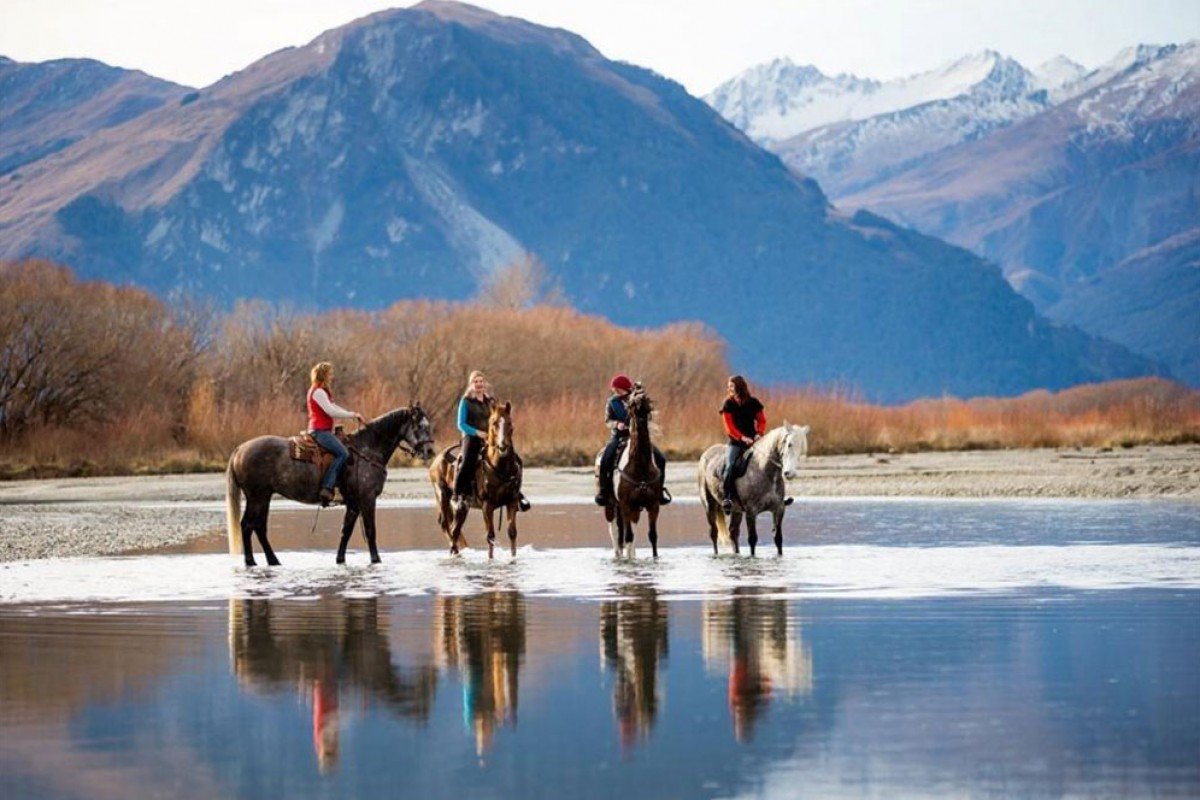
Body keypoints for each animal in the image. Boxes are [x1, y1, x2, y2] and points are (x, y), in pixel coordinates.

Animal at [225, 402, 436, 566]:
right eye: (420, 426)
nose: (430, 451)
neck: (367, 450)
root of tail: (239, 449)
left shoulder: (353, 503)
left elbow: (346, 531)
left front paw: (340, 559)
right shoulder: (367, 500)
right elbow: (370, 531)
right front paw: (376, 560)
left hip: (264, 497)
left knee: (259, 527)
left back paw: (272, 560)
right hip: (257, 496)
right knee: (247, 525)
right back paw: (251, 561)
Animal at [432, 402, 525, 561]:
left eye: (509, 422)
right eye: (494, 423)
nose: (503, 446)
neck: (499, 467)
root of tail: (436, 460)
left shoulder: (511, 502)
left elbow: (512, 532)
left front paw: (513, 559)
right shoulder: (487, 506)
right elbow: (490, 536)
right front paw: (490, 560)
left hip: (463, 508)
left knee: (455, 530)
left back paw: (456, 554)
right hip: (443, 497)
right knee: (446, 525)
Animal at [600, 386, 667, 556]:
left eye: (647, 403)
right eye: (632, 405)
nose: (642, 421)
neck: (640, 466)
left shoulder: (653, 505)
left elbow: (652, 536)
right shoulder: (625, 504)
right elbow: (628, 536)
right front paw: (628, 559)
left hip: (635, 509)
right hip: (610, 505)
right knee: (614, 530)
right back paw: (618, 554)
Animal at [700, 424, 811, 556]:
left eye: (802, 448)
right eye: (789, 444)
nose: (790, 473)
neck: (764, 470)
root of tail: (706, 454)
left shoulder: (779, 510)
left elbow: (778, 539)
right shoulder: (751, 512)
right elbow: (752, 540)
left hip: (736, 510)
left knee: (733, 532)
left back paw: (736, 554)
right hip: (709, 506)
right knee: (714, 533)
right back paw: (716, 554)